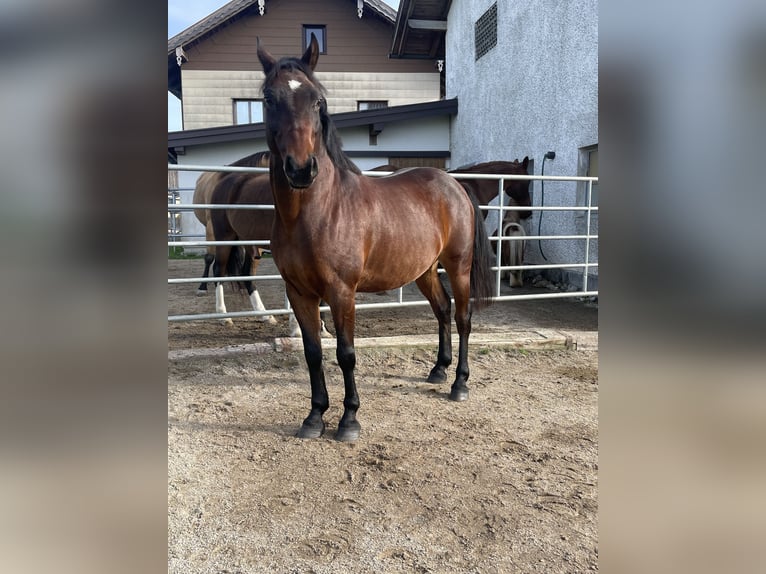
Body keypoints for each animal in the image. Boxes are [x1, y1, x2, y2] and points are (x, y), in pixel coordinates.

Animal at [257, 35, 494, 441]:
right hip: (424, 271)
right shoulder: (299, 292)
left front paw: (349, 420)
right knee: (443, 309)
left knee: (463, 317)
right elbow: (313, 353)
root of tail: (455, 184)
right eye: (269, 98)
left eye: (317, 100)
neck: (314, 213)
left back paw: (459, 383)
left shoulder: (341, 292)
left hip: (458, 266)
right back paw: (438, 370)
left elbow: (346, 353)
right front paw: (314, 417)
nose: (301, 169)